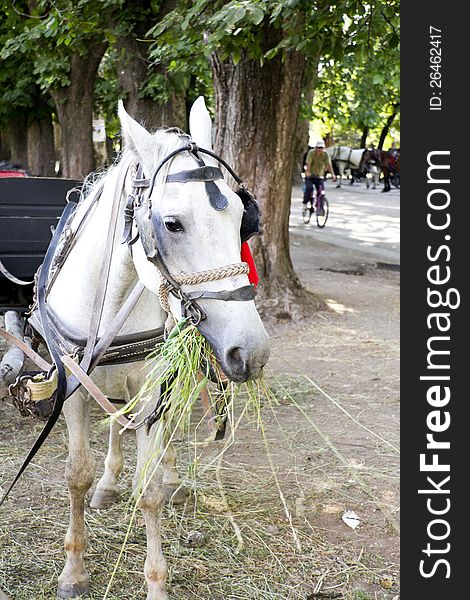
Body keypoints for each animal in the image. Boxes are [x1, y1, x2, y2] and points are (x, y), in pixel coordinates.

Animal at [29, 98, 270, 600]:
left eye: (243, 218)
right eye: (171, 224)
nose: (251, 352)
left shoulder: (156, 387)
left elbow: (151, 489)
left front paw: (156, 580)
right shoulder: (73, 387)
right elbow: (76, 475)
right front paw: (74, 569)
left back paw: (172, 473)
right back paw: (108, 482)